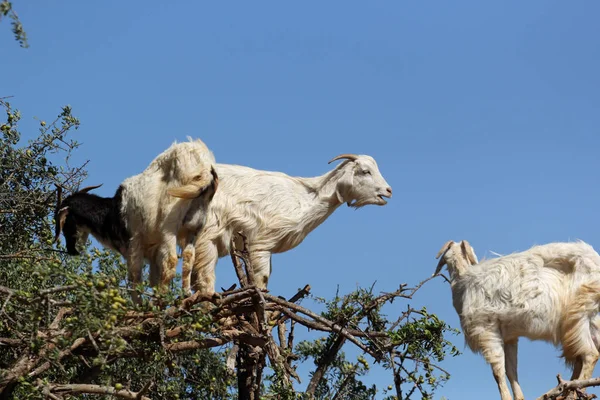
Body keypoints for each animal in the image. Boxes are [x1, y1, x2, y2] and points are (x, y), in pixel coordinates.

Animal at [189, 153, 394, 296]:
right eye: (365, 171)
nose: (389, 190)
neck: (306, 198)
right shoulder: (261, 242)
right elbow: (262, 279)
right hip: (207, 236)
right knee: (203, 277)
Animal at [434, 239, 600, 398]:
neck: (464, 281)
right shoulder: (509, 337)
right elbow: (511, 369)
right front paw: (519, 397)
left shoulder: (486, 329)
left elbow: (498, 371)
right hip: (589, 319)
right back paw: (568, 390)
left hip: (578, 313)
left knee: (590, 354)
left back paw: (574, 391)